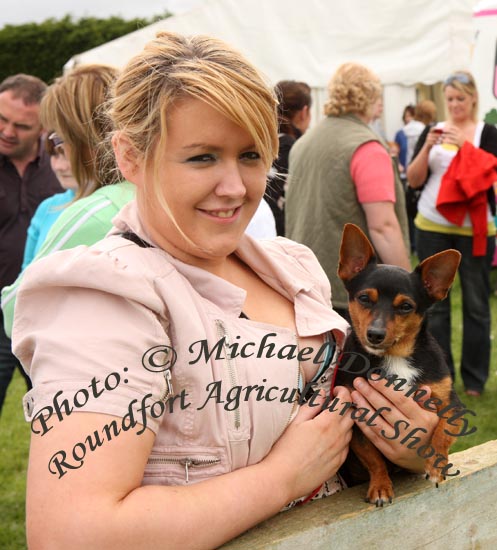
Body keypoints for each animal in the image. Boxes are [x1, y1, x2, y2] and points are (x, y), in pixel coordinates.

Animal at [336, 224, 464, 508]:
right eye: (364, 298)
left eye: (406, 306)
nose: (374, 334)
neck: (395, 356)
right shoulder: (356, 420)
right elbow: (373, 458)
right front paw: (381, 487)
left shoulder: (453, 405)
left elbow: (443, 431)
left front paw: (436, 465)